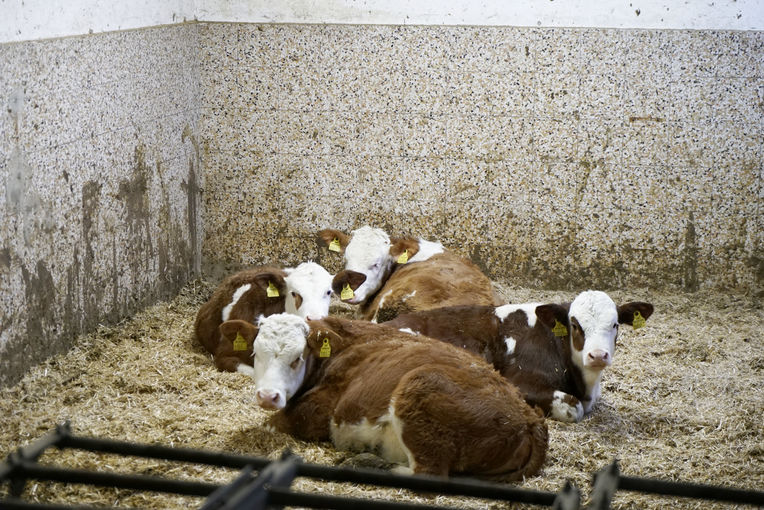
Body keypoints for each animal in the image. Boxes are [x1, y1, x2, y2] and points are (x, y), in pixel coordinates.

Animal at [242, 312, 548, 480]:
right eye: (256, 353)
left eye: (297, 358)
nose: (268, 396)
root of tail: (530, 418)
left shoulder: (325, 408)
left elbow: (277, 422)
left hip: (421, 387)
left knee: (429, 473)